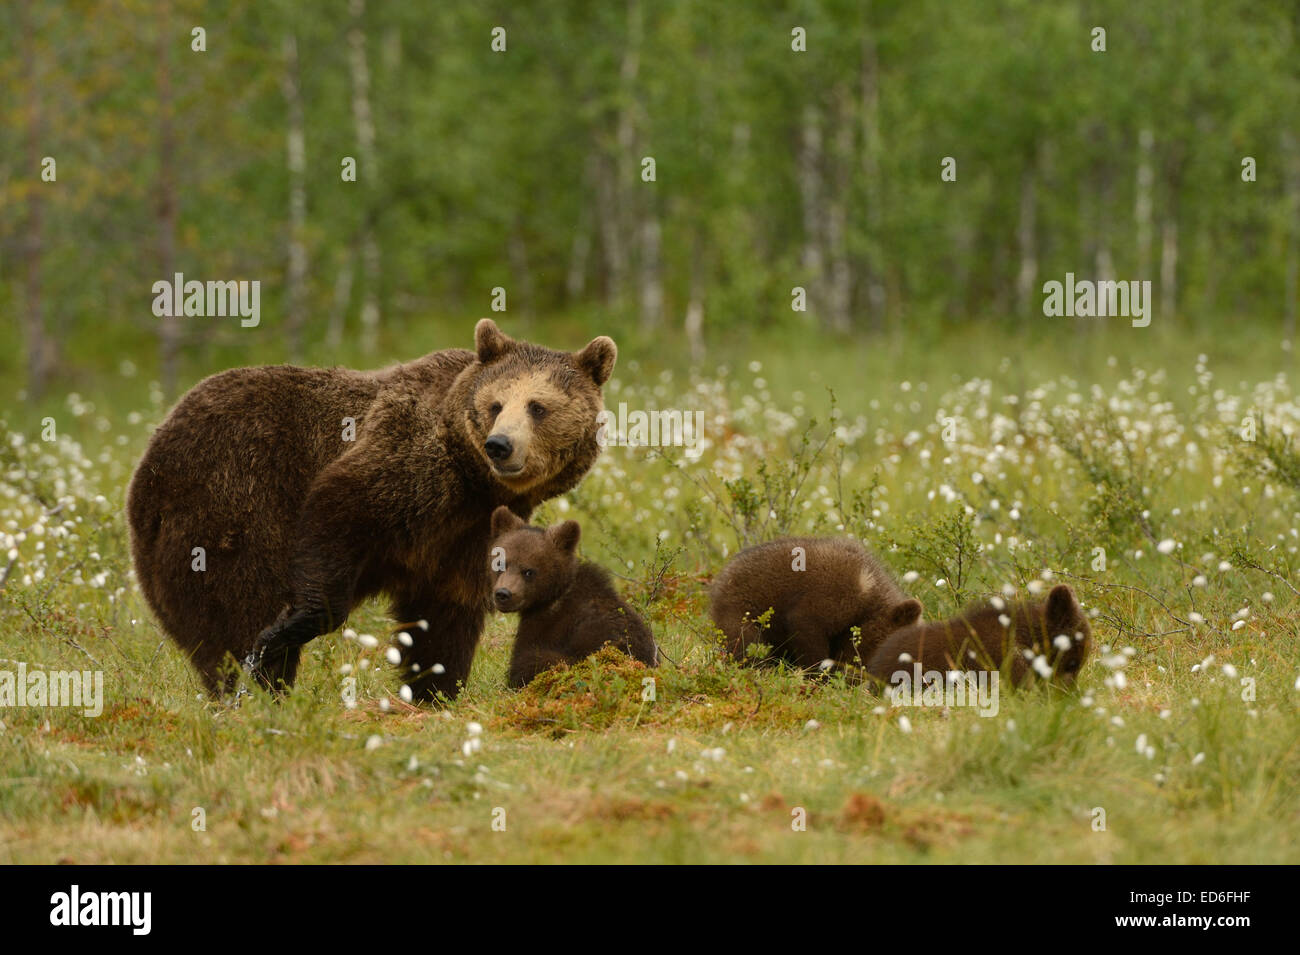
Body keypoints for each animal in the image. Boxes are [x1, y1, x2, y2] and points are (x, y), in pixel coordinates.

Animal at [126, 319, 616, 701]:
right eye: (495, 404)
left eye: (538, 407)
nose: (500, 445)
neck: (473, 480)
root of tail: (149, 460)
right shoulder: (405, 464)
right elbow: (338, 510)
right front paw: (288, 626)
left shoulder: (470, 529)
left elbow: (446, 610)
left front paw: (434, 688)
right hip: (228, 505)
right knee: (239, 602)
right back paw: (258, 686)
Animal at [489, 507, 657, 688]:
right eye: (500, 564)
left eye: (528, 571)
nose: (503, 594)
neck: (552, 597)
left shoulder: (545, 626)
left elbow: (523, 657)